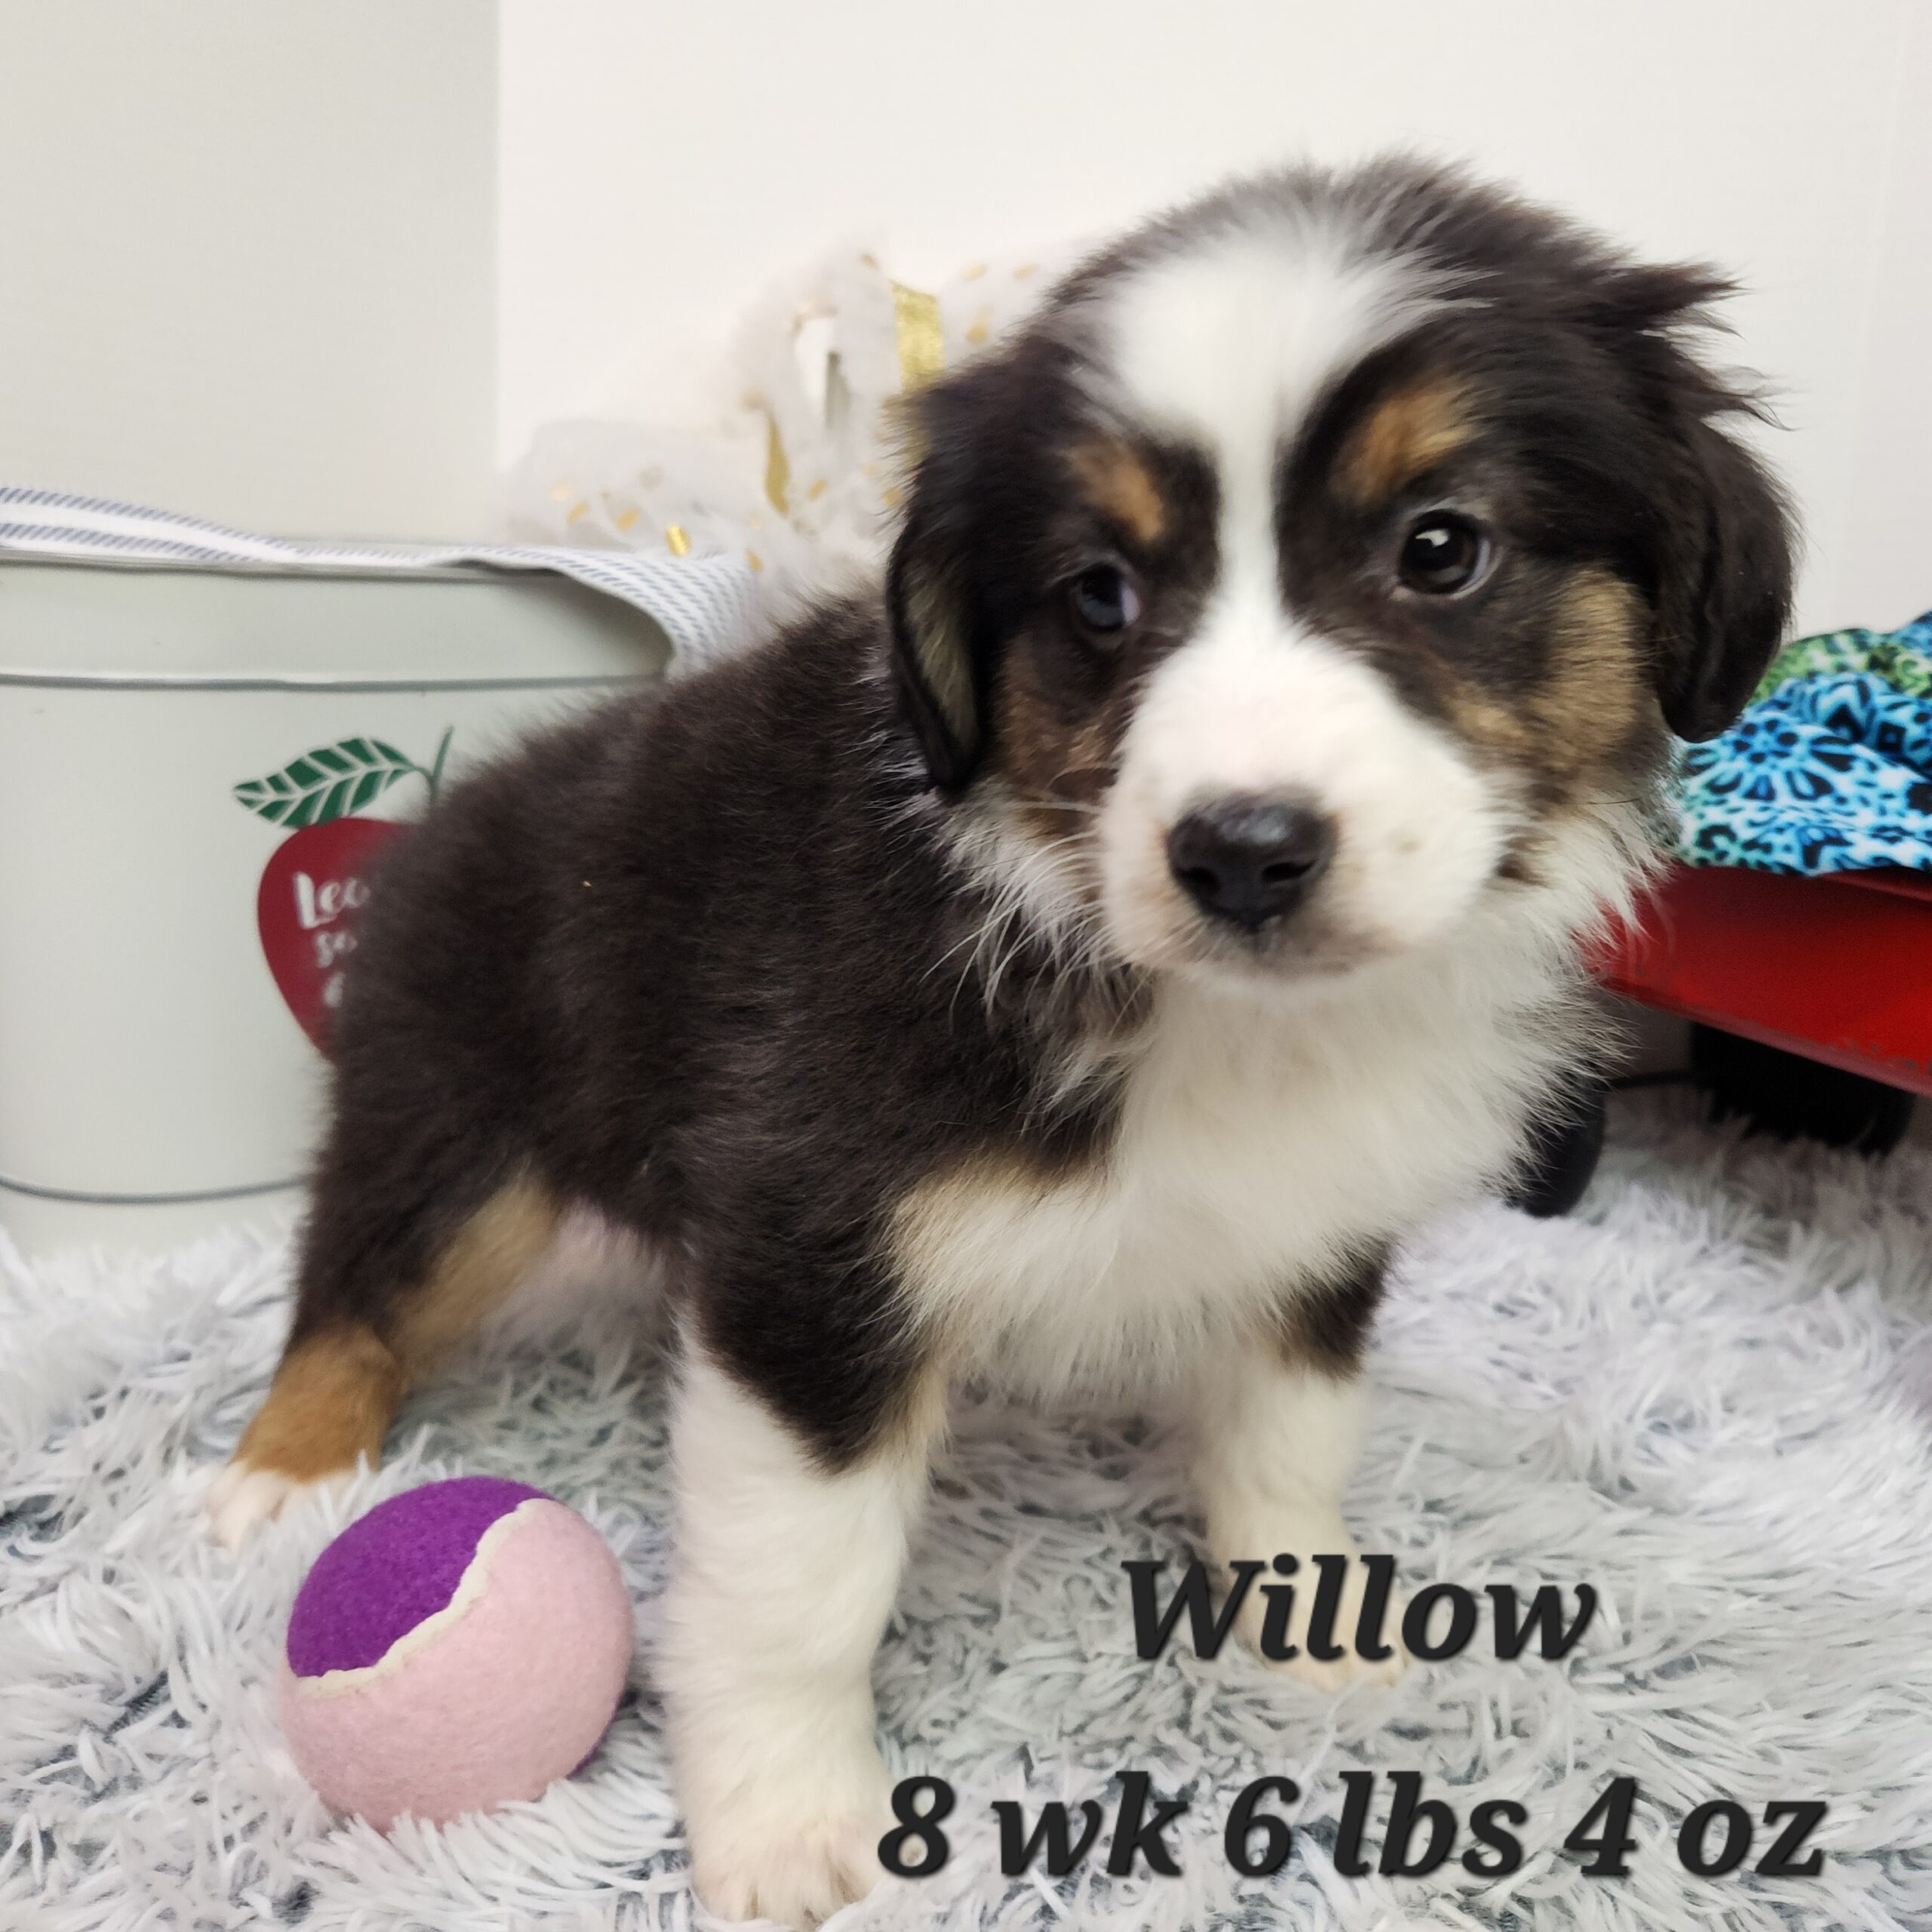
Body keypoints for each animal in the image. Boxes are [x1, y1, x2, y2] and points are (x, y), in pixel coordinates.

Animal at [211, 162, 1792, 1916]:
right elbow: (799, 1583)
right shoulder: (810, 1238)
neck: (1219, 1014)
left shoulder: (1315, 1225)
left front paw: (1310, 1632)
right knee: (358, 1279)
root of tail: (453, 810)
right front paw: (785, 1825)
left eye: (1441, 548)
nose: (1242, 854)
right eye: (1099, 593)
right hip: (455, 1108)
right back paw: (276, 1477)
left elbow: (1290, 1437)